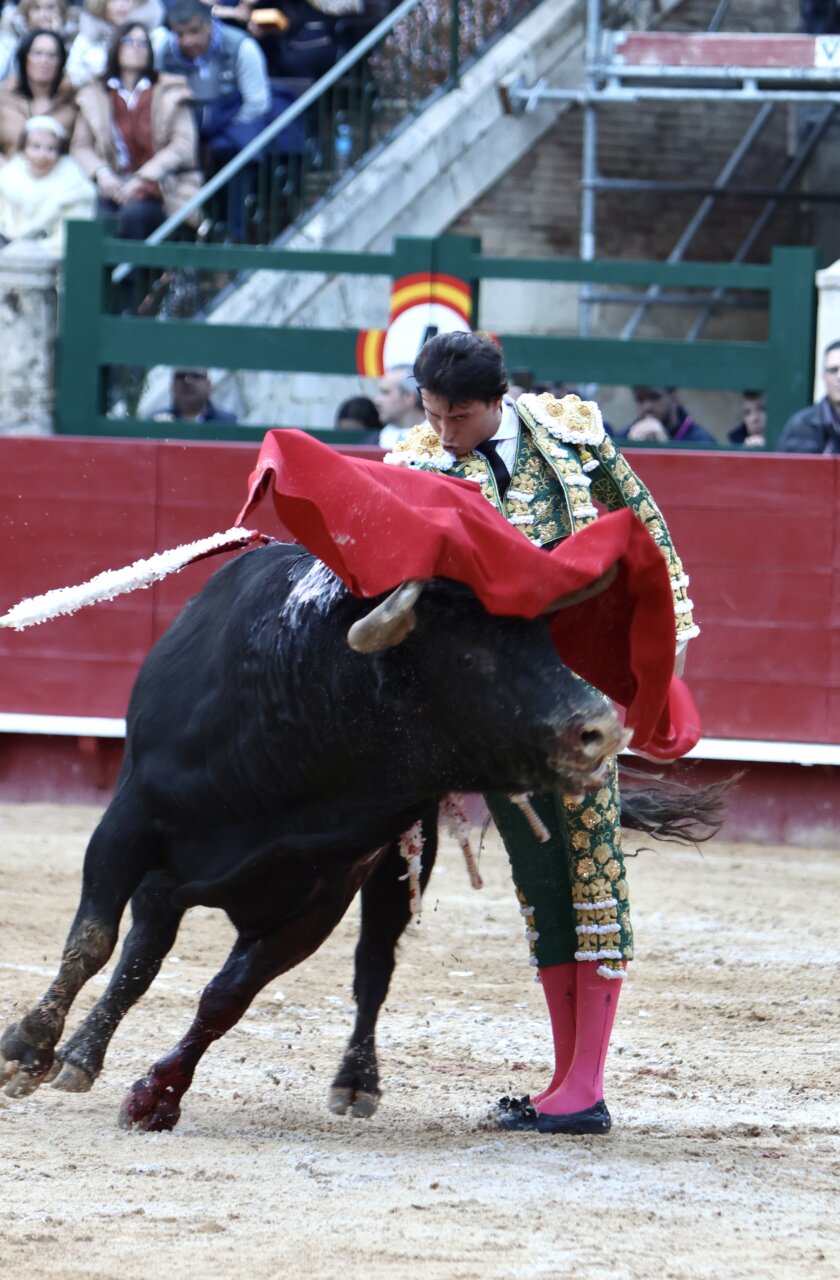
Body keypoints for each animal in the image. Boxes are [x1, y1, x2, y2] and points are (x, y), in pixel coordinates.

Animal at [0, 539, 643, 1130]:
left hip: (401, 865)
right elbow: (91, 942)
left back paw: (356, 1082)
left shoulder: (318, 901)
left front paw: (157, 1096)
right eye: (470, 657)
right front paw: (27, 1051)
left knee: (373, 966)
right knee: (143, 948)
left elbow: (226, 997)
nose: (603, 730)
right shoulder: (129, 822)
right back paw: (81, 1054)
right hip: (165, 872)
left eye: (548, 641)